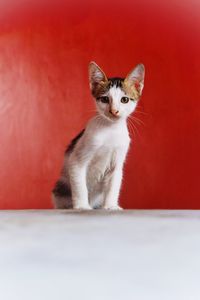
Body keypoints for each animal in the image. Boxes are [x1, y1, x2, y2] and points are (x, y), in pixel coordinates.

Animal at [52, 62, 145, 210]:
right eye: (105, 99)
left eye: (124, 100)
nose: (114, 111)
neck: (111, 129)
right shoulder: (76, 160)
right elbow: (80, 186)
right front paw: (82, 206)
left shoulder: (117, 163)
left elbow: (113, 186)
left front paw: (111, 206)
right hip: (61, 186)